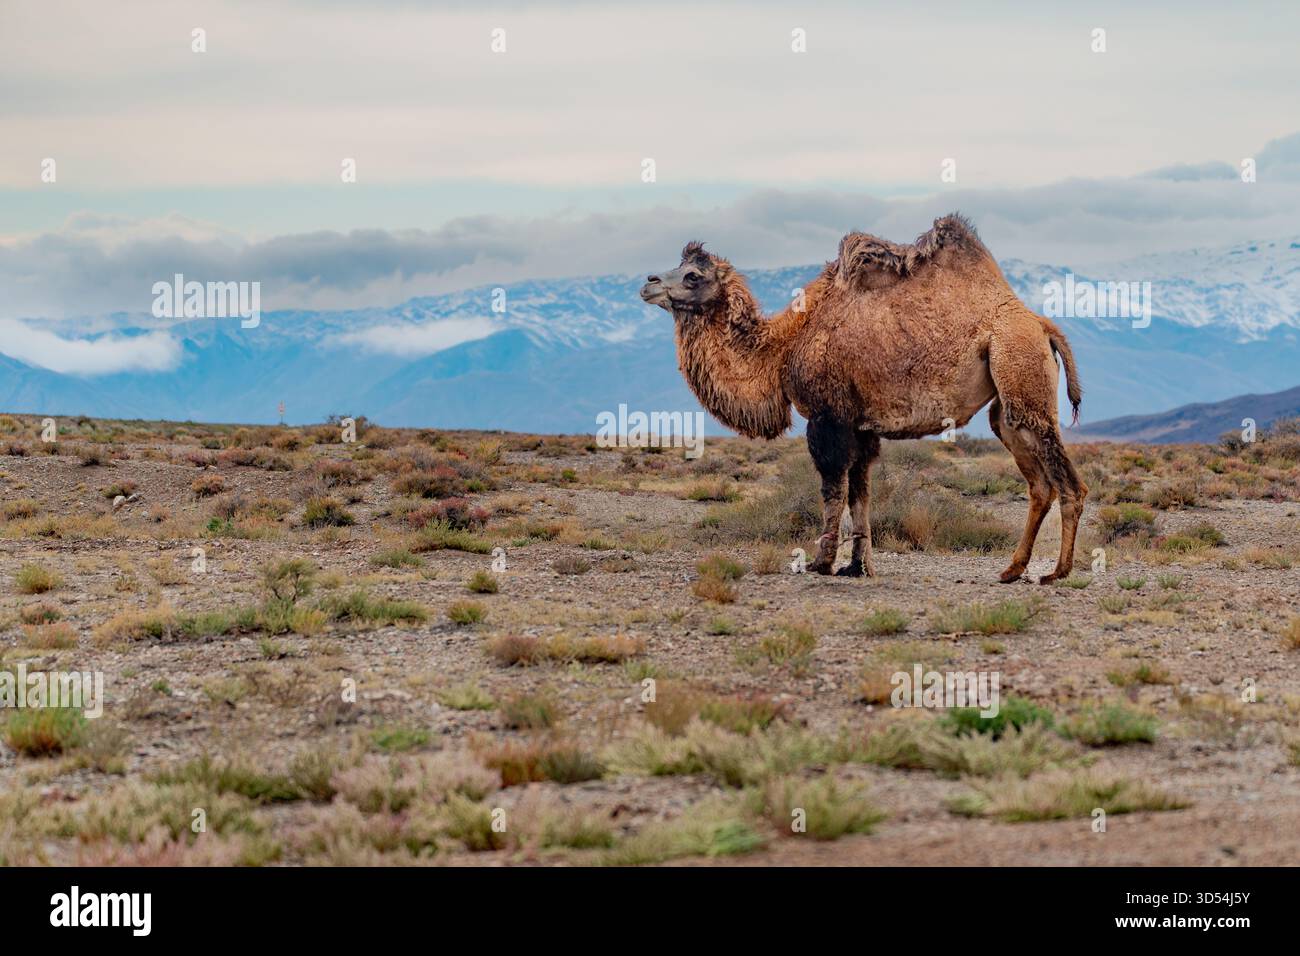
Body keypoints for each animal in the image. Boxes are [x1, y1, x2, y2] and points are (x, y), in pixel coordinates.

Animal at [639, 214, 1087, 584]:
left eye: (693, 275)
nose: (648, 283)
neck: (785, 345)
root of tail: (1041, 324)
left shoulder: (827, 416)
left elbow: (833, 488)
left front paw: (821, 563)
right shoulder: (860, 424)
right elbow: (861, 492)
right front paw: (858, 566)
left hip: (1020, 370)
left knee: (1069, 483)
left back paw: (1057, 572)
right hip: (1007, 406)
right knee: (1039, 483)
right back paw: (1012, 570)